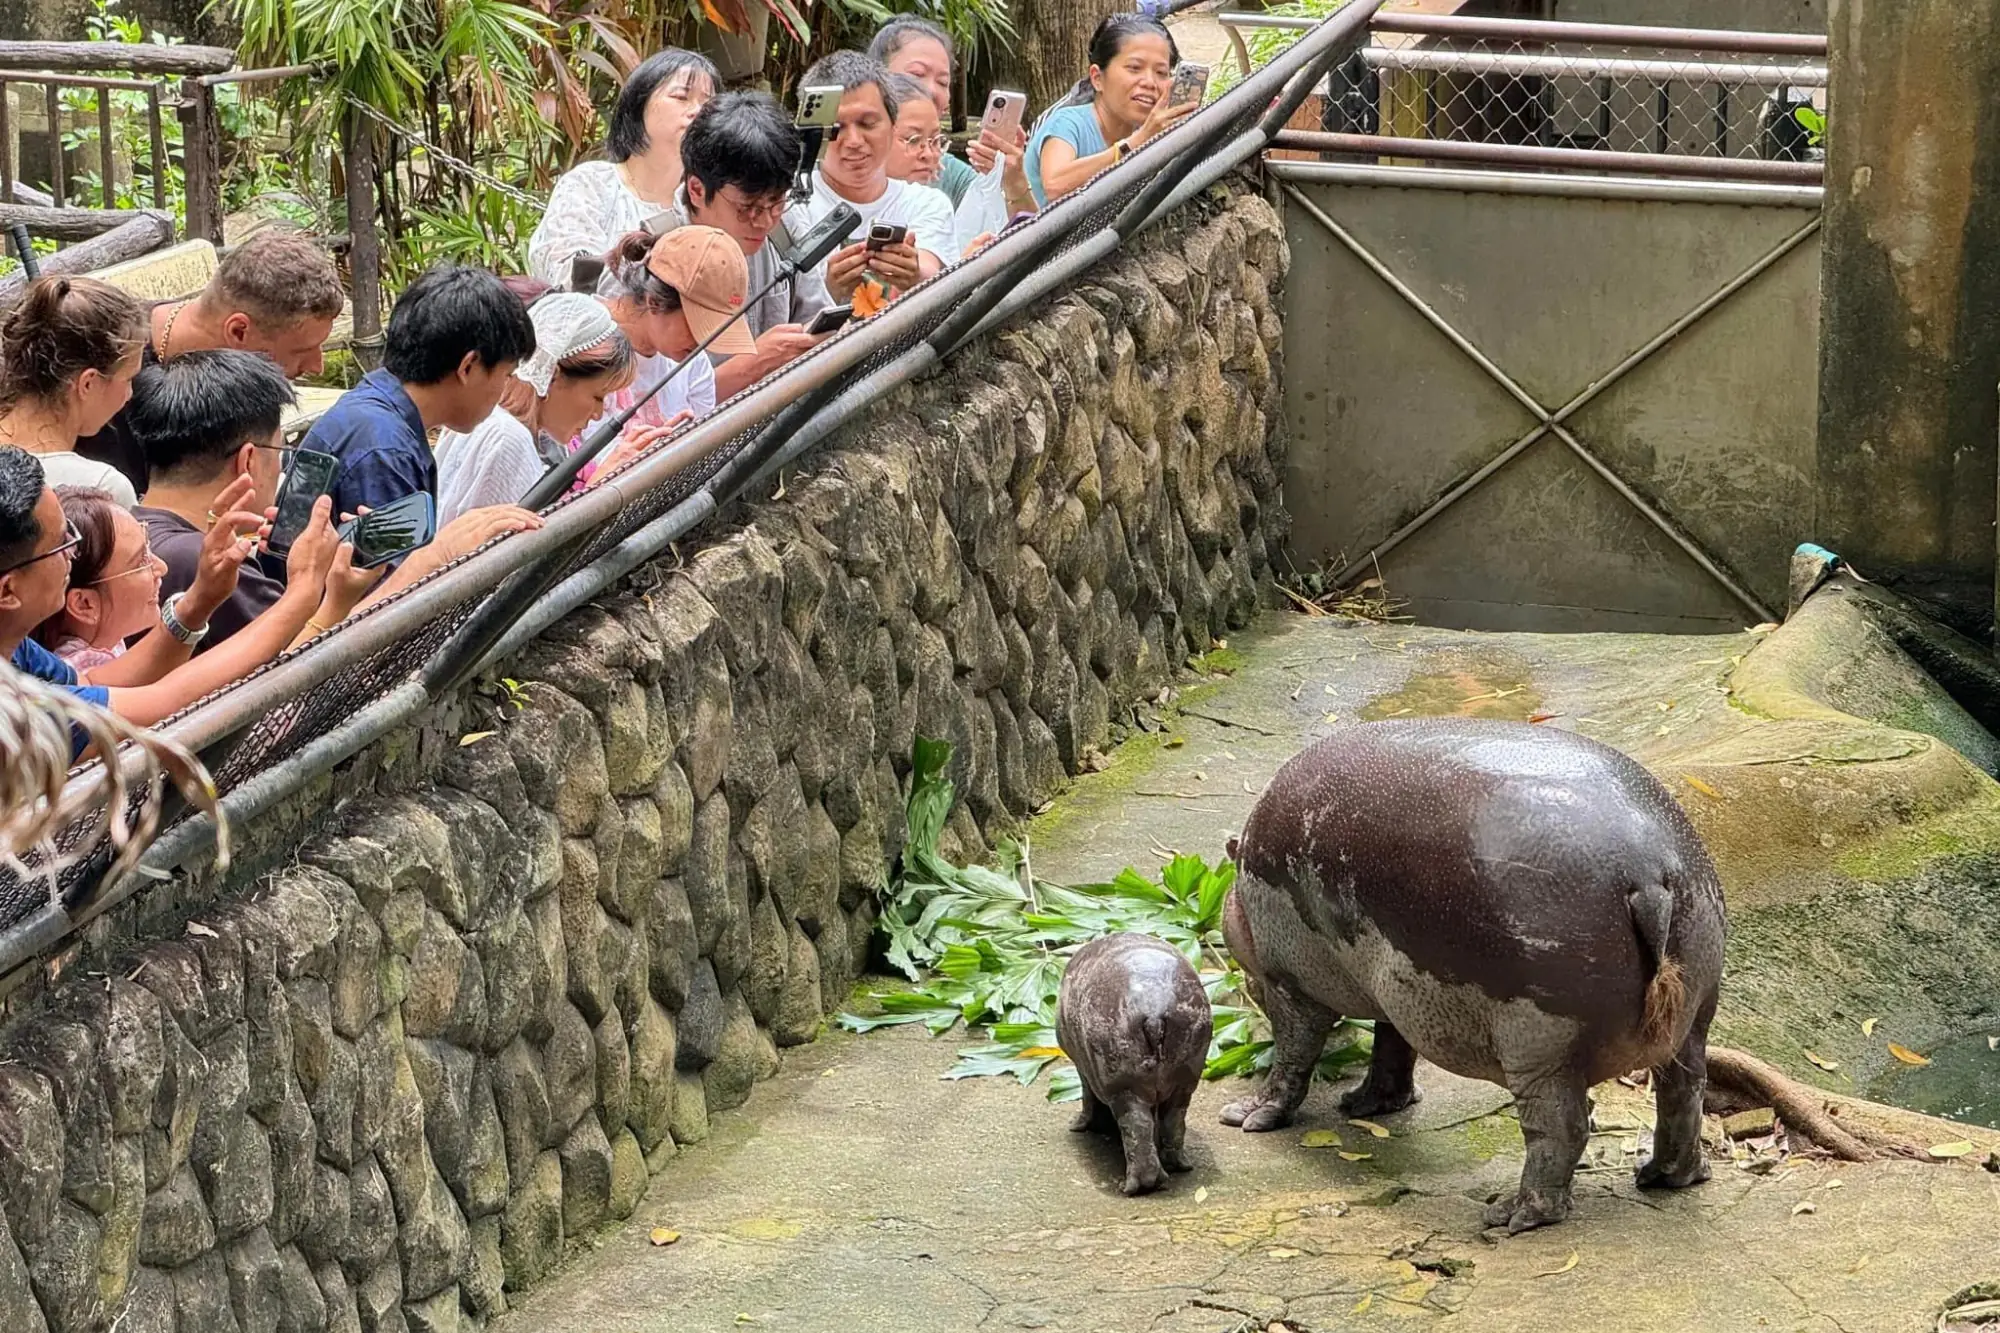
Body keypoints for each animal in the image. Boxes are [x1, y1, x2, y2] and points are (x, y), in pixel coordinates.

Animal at [1056, 924, 1208, 1192]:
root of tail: (1155, 1011)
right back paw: (1179, 1167)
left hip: (1122, 1084)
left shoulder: (1084, 1070)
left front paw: (1077, 1126)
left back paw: (1133, 1187)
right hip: (1185, 1078)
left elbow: (1087, 1097)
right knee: (1173, 1120)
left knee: (1136, 1127)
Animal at [1224, 716, 1728, 1224]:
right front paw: (1366, 1105)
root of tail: (1648, 873)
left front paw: (1245, 1116)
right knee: (1684, 1092)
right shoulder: (1396, 987)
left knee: (1560, 1129)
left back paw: (1513, 1215)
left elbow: (1294, 1056)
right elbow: (1391, 1046)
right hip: (1696, 1009)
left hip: (1540, 1045)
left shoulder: (1289, 985)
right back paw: (1668, 1176)